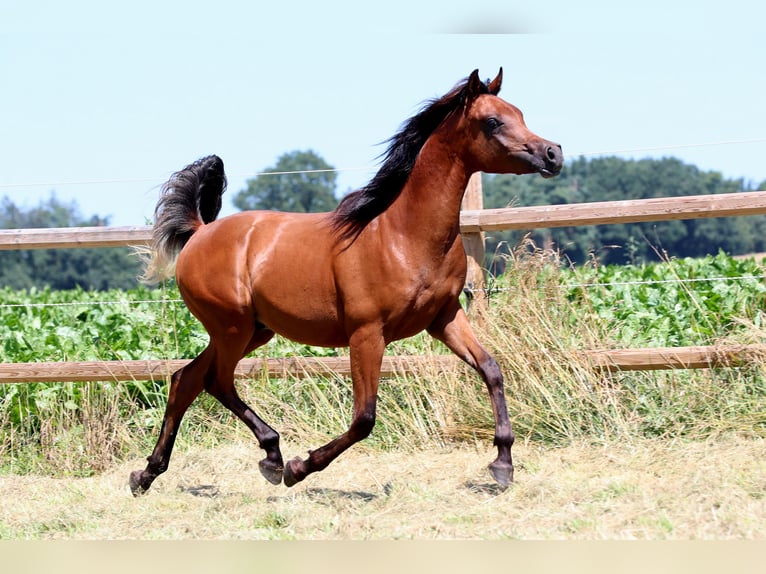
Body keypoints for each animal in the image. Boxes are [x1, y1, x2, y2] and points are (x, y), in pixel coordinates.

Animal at [130, 70, 564, 498]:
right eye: (493, 122)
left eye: (519, 113)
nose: (553, 153)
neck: (404, 234)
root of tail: (200, 232)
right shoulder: (367, 334)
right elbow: (364, 418)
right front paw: (299, 468)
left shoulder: (444, 318)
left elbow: (491, 369)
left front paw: (503, 464)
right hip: (231, 328)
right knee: (215, 381)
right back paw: (272, 458)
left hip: (253, 330)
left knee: (187, 379)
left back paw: (147, 474)